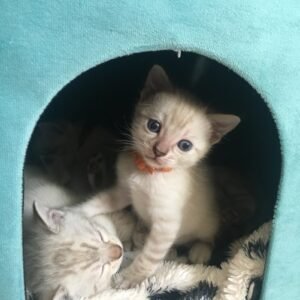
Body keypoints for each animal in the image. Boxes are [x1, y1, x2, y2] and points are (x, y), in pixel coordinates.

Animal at [74, 64, 240, 288]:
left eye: (185, 145)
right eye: (153, 126)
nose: (159, 151)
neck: (146, 172)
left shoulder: (166, 225)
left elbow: (148, 258)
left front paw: (129, 278)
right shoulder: (124, 191)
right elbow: (97, 202)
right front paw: (71, 212)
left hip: (208, 223)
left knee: (208, 238)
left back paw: (200, 250)